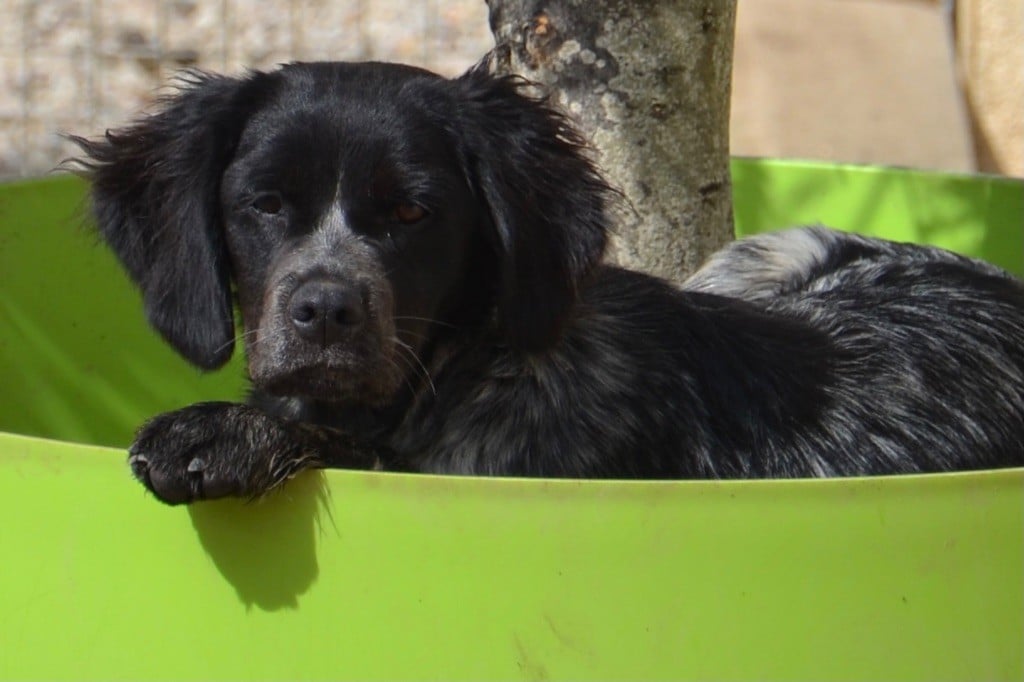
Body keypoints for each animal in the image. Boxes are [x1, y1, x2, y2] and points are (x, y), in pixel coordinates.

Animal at [70, 61, 1024, 501]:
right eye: (265, 204)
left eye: (414, 213)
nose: (326, 311)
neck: (463, 378)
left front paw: (220, 433)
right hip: (773, 250)